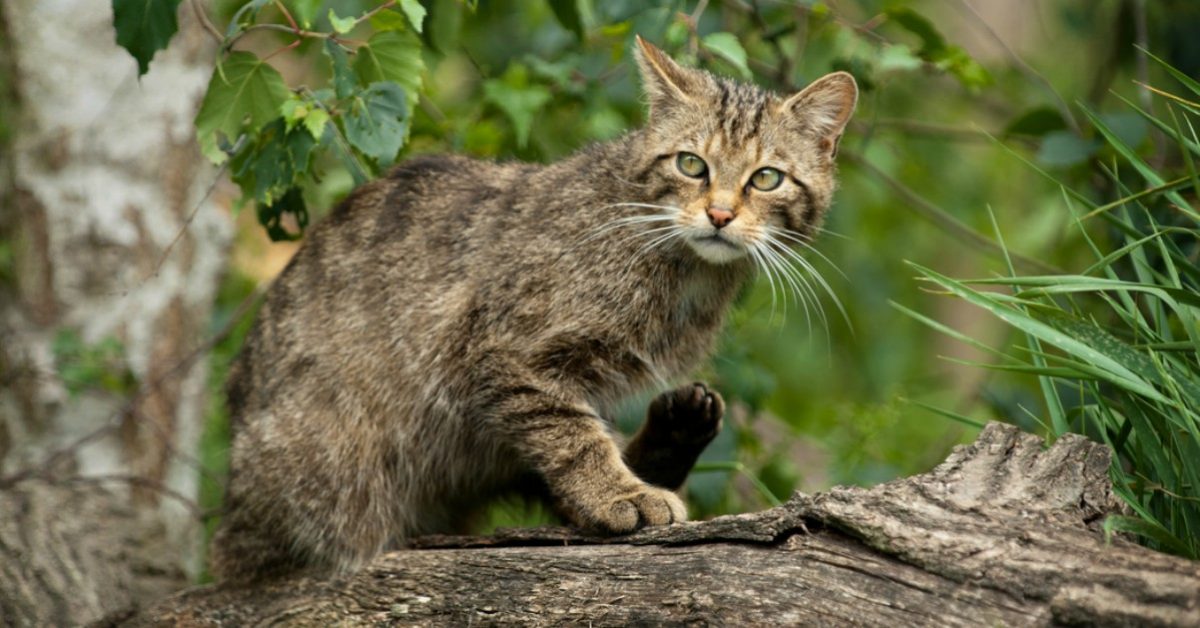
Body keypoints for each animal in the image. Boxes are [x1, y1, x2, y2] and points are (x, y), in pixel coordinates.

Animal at [213, 36, 854, 583]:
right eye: (691, 165)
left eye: (766, 178)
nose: (719, 214)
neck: (685, 273)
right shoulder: (506, 354)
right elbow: (573, 437)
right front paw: (619, 494)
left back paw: (674, 436)